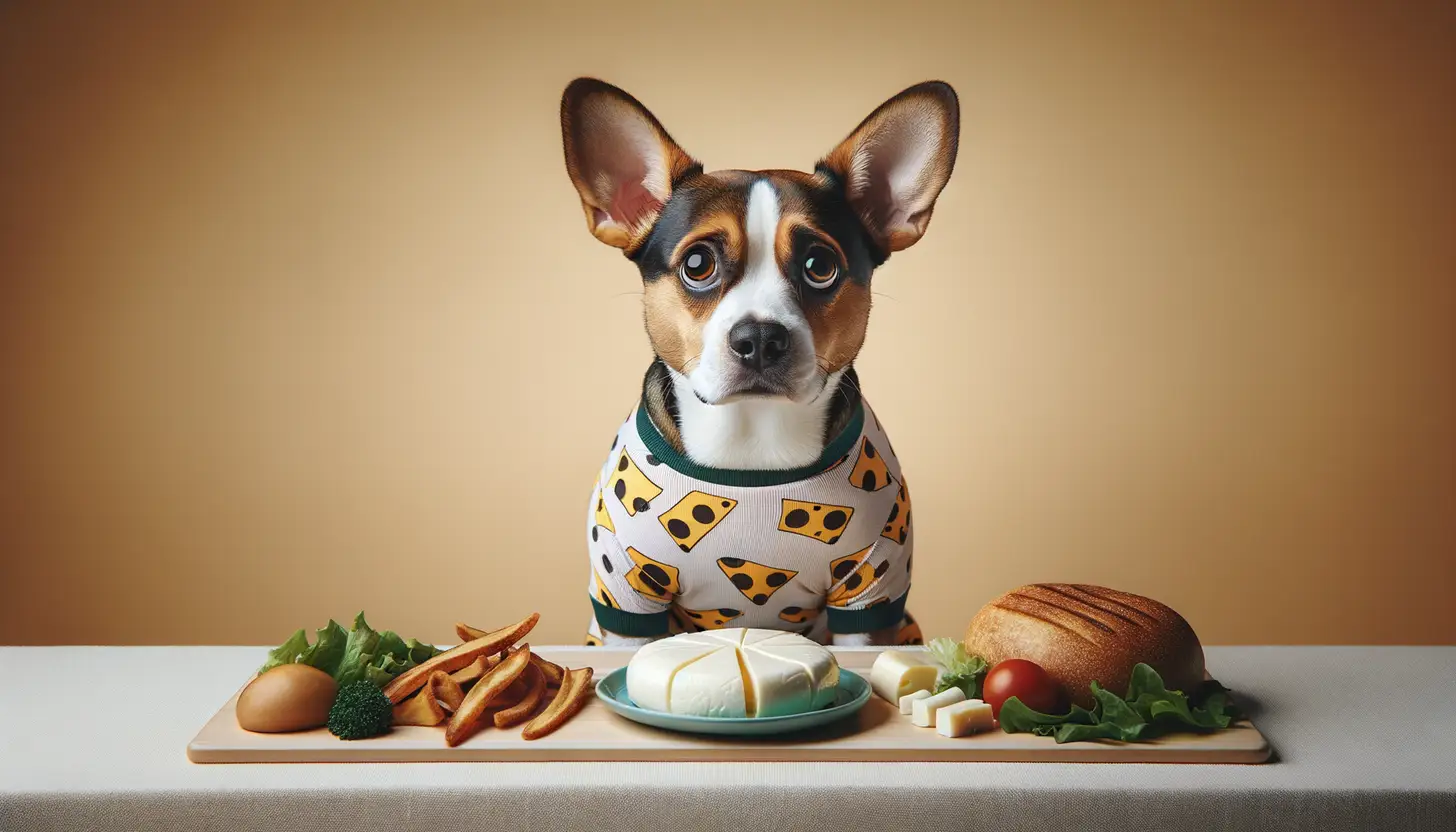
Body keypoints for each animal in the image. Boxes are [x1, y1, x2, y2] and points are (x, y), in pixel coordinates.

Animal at [562, 77, 960, 649]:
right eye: (697, 264)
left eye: (820, 265)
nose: (760, 338)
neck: (751, 443)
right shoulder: (626, 600)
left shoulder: (870, 593)